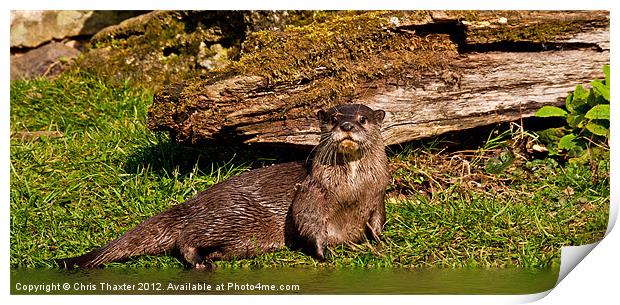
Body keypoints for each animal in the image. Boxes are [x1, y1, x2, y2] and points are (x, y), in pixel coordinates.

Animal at [57, 103, 388, 268]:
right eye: (332, 118)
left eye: (363, 118)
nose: (347, 125)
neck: (351, 192)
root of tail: (195, 202)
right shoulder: (312, 192)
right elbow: (307, 221)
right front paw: (323, 254)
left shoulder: (377, 195)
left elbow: (377, 222)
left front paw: (381, 243)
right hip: (231, 215)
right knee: (185, 238)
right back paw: (199, 262)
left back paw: (213, 258)